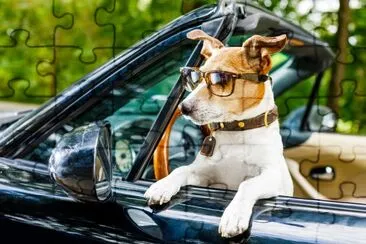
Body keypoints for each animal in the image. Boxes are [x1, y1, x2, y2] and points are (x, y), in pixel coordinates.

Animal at [144, 29, 294, 237]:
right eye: (195, 77)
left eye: (220, 78)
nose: (183, 108)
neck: (238, 130)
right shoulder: (203, 177)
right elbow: (181, 169)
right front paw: (163, 185)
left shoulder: (273, 176)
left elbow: (248, 185)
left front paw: (234, 215)